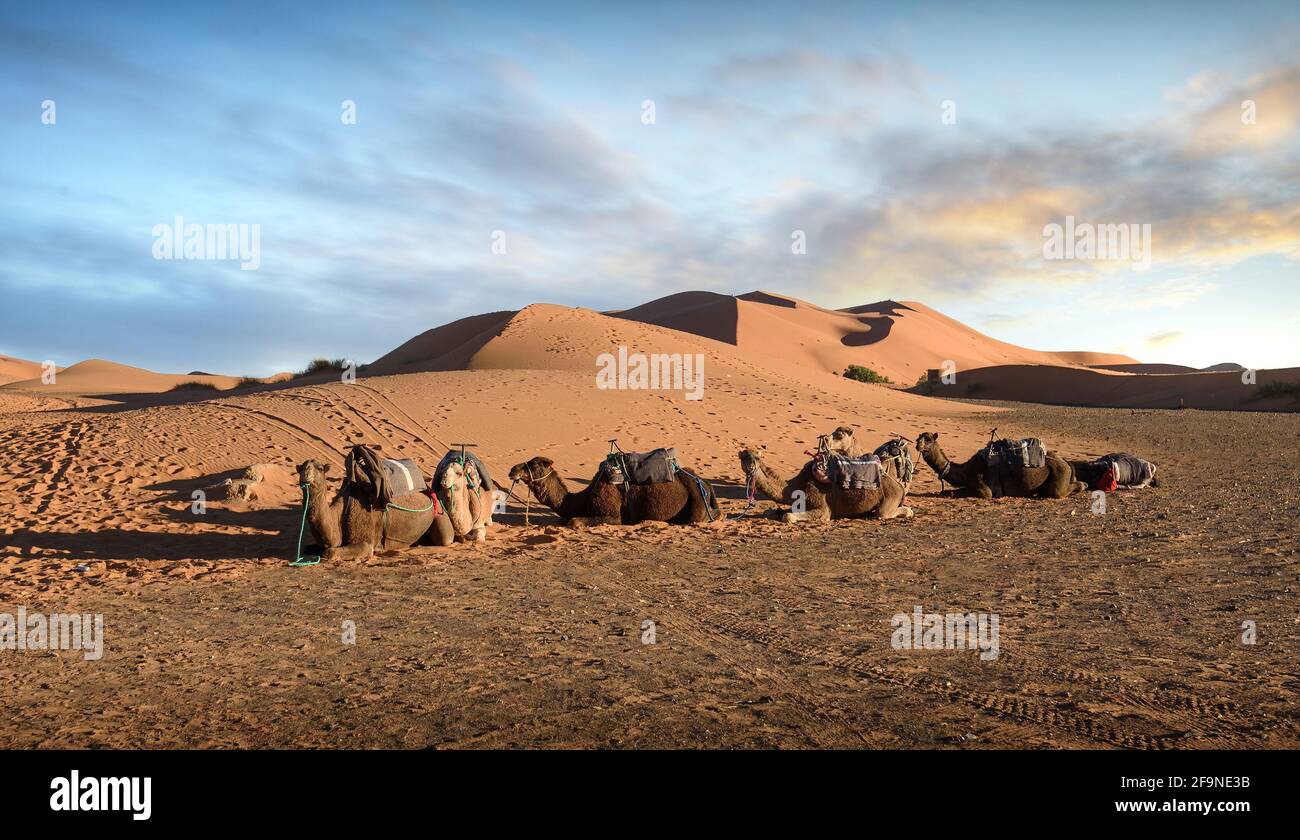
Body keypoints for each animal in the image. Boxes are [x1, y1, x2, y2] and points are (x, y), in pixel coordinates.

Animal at [296, 457, 454, 561]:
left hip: (439, 511)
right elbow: (307, 548)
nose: (306, 474)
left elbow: (330, 553)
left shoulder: (366, 541)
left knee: (445, 539)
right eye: (301, 468)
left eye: (320, 468)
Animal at [504, 457, 722, 530]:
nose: (512, 469)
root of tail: (706, 485)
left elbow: (573, 521)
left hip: (697, 505)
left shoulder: (613, 516)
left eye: (534, 465)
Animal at [743, 444, 915, 522]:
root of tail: (899, 485)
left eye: (756, 458)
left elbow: (788, 516)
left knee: (884, 513)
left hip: (891, 495)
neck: (795, 486)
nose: (750, 467)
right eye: (743, 457)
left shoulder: (822, 507)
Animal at [909, 434, 1081, 499]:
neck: (966, 471)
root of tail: (1066, 462)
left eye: (929, 439)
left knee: (1062, 490)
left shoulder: (986, 491)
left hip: (1060, 474)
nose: (918, 445)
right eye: (918, 438)